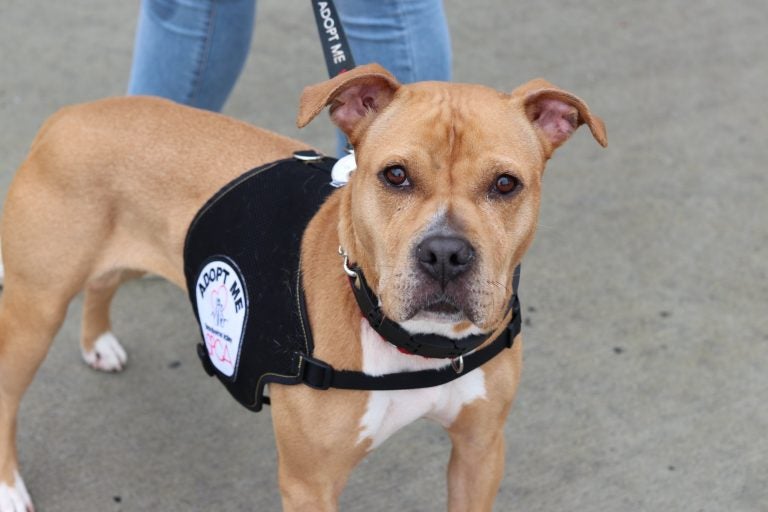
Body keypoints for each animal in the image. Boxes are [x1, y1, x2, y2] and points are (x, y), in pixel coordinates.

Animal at [0, 65, 608, 512]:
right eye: (395, 175)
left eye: (506, 184)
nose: (445, 254)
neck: (412, 342)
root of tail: (70, 116)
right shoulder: (309, 483)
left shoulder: (479, 452)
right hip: (35, 309)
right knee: (8, 393)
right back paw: (9, 488)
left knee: (104, 280)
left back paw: (97, 341)